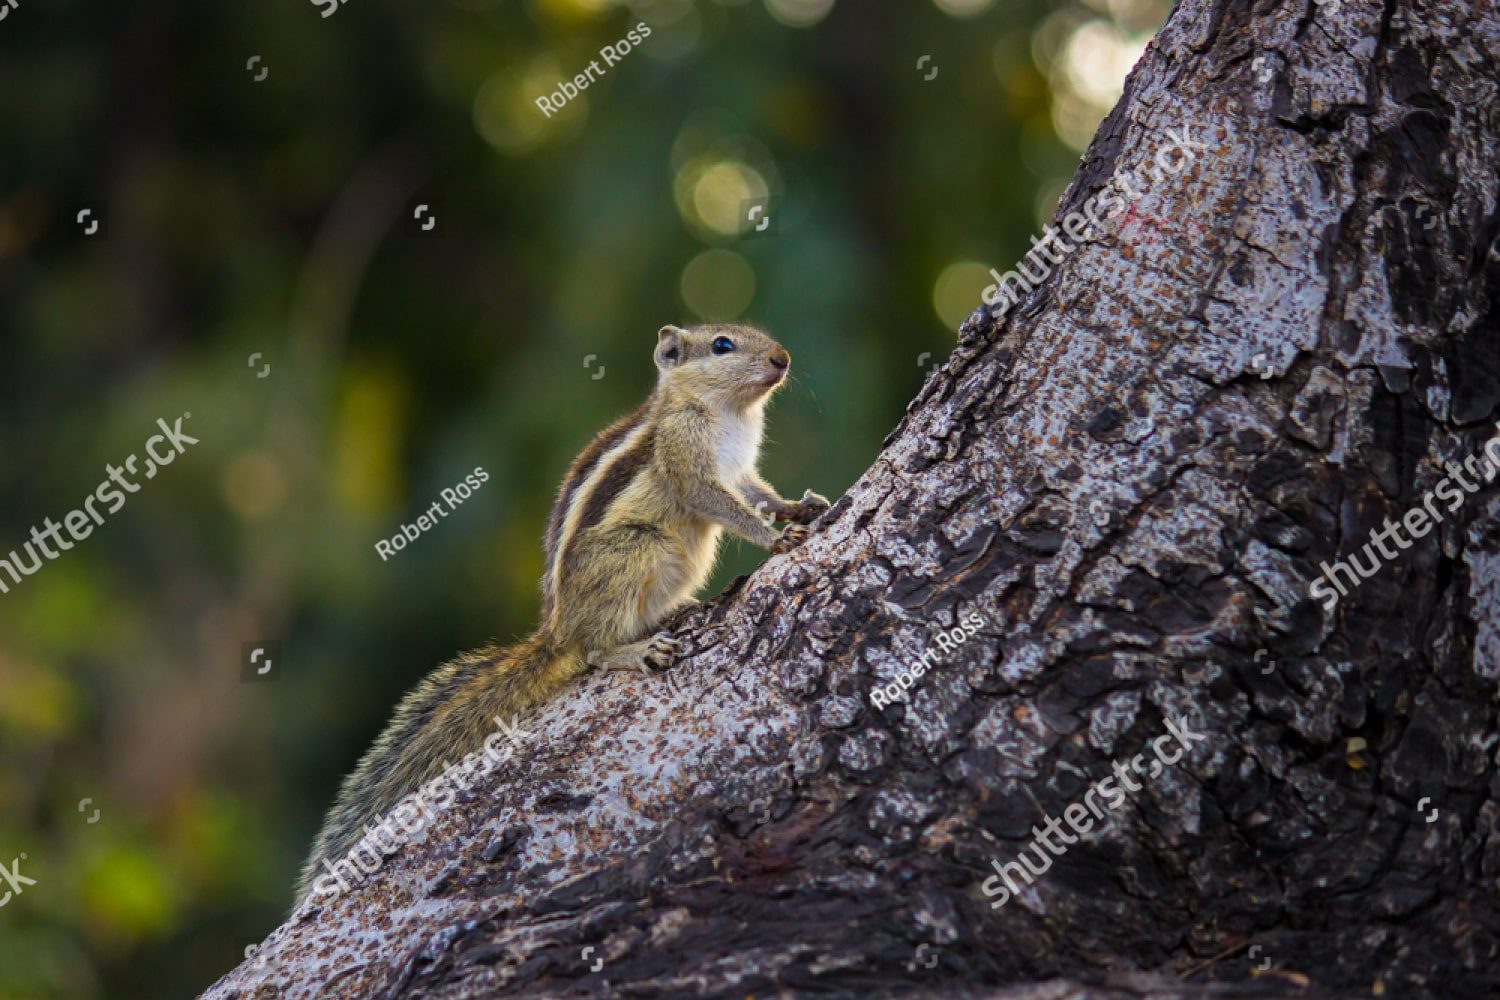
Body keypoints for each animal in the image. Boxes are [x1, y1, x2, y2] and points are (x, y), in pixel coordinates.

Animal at [295, 322, 828, 904]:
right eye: (722, 346)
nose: (782, 358)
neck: (728, 412)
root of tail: (557, 631)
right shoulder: (689, 464)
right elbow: (722, 503)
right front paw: (776, 539)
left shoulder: (743, 469)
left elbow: (759, 493)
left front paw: (799, 507)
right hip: (634, 550)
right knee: (594, 651)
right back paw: (635, 650)